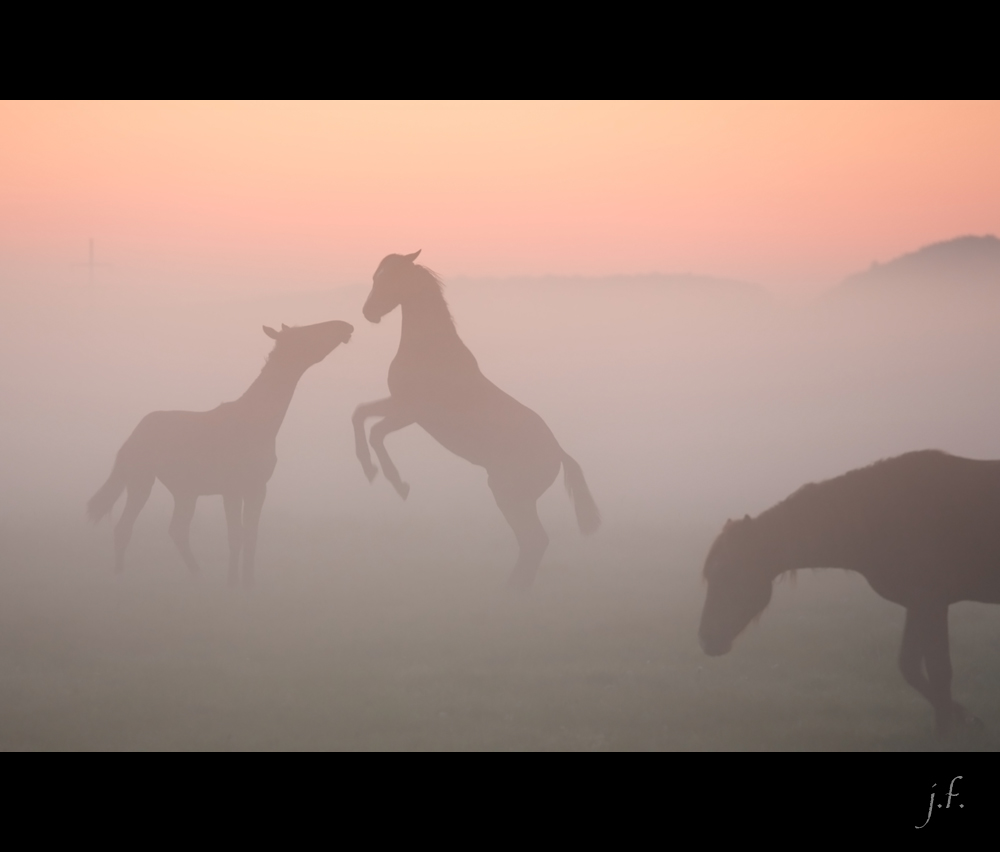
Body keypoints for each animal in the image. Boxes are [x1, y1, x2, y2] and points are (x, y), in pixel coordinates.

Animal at [86, 320, 354, 584]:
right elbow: (235, 536)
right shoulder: (232, 488)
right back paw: (121, 576)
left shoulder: (258, 487)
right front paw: (232, 583)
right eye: (305, 334)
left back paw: (198, 576)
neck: (262, 424)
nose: (346, 326)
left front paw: (248, 582)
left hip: (185, 491)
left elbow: (251, 536)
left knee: (177, 529)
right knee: (125, 526)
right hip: (141, 479)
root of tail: (131, 438)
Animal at [354, 250, 596, 588]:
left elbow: (375, 431)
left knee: (534, 540)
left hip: (510, 495)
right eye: (377, 275)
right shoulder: (398, 404)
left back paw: (512, 590)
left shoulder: (411, 411)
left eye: (390, 277)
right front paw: (369, 470)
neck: (429, 350)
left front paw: (398, 484)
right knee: (532, 542)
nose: (368, 312)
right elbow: (360, 414)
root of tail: (558, 453)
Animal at [700, 452, 1000, 740]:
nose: (706, 639)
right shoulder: (917, 605)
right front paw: (961, 720)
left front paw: (952, 727)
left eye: (728, 572)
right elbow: (910, 667)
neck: (890, 515)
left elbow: (939, 671)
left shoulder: (932, 603)